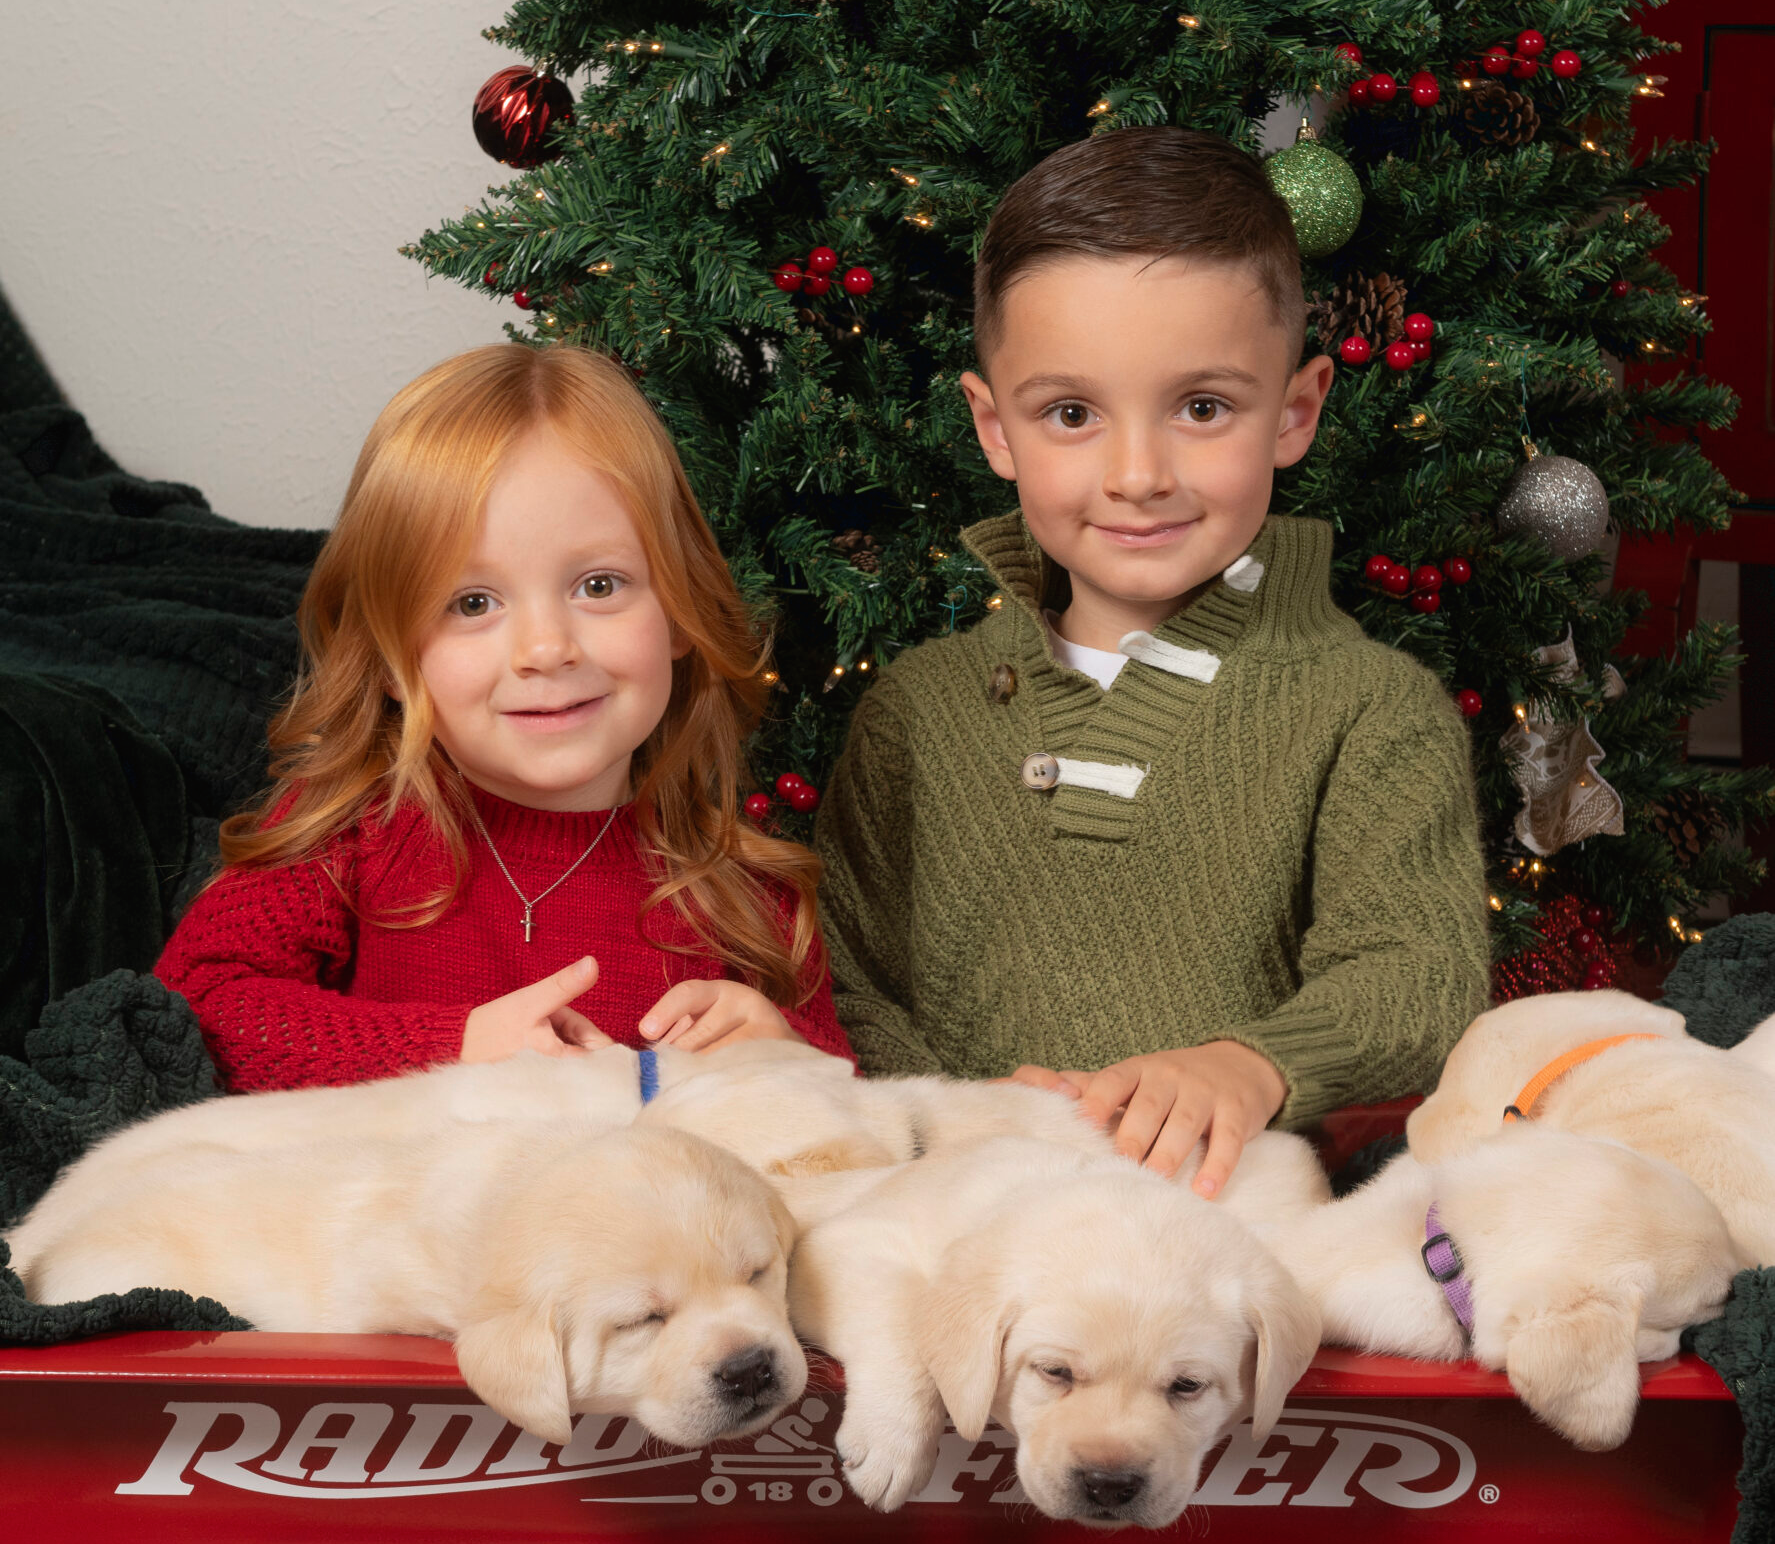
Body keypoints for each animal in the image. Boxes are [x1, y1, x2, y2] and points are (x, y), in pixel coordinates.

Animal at [784, 1128, 1327, 1526]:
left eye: (1188, 1385)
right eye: (1054, 1372)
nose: (1110, 1485)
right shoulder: (843, 1245)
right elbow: (901, 1314)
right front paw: (892, 1442)